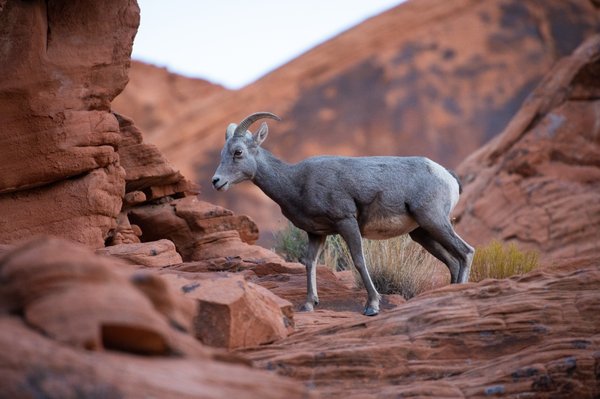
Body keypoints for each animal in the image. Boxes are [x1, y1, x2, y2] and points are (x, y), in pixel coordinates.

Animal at [211, 111, 474, 316]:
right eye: (223, 153)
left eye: (238, 152)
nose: (216, 181)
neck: (295, 182)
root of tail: (446, 175)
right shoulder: (316, 233)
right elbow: (310, 263)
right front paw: (309, 304)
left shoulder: (346, 222)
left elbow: (358, 260)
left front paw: (372, 306)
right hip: (422, 233)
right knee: (452, 261)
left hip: (433, 221)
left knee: (466, 252)